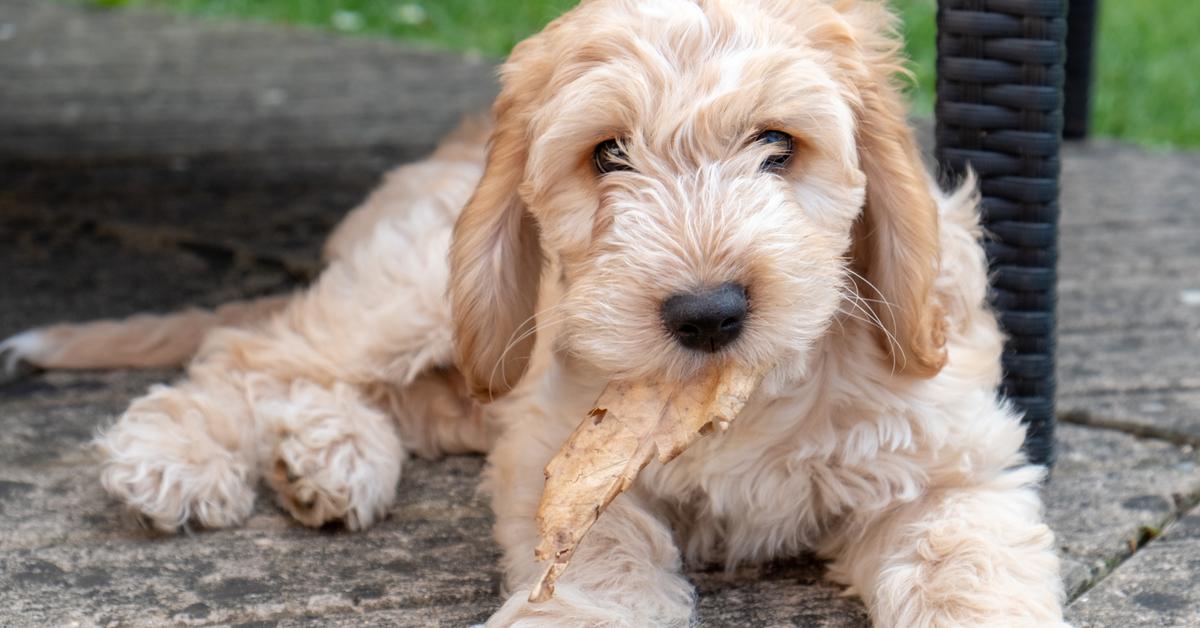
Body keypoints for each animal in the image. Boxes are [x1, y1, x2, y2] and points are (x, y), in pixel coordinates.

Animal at [2, 2, 1070, 624]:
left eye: (779, 144)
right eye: (608, 155)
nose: (709, 313)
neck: (736, 399)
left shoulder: (954, 469)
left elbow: (969, 566)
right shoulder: (560, 451)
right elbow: (602, 548)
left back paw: (328, 456)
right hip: (417, 295)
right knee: (257, 350)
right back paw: (181, 456)